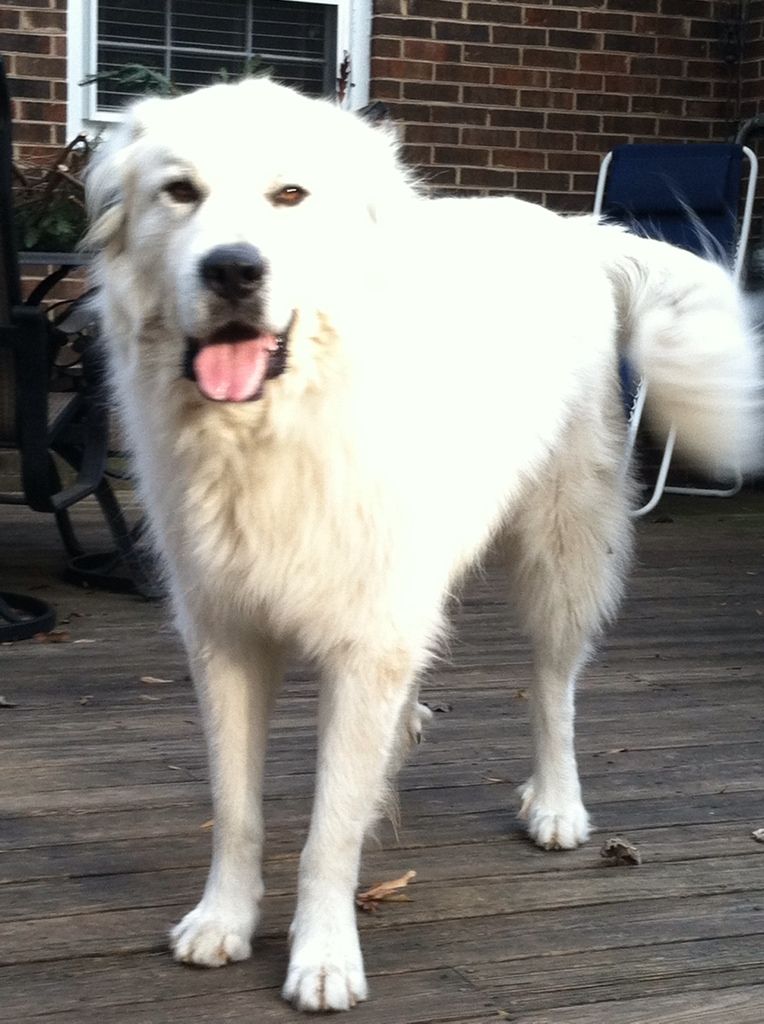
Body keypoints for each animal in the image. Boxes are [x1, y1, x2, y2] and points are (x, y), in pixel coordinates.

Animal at [85, 77, 761, 1007]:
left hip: (560, 552)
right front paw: (223, 919)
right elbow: (237, 807)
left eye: (289, 195)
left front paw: (323, 955)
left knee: (554, 688)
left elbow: (330, 829)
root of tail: (574, 232)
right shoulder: (226, 634)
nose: (232, 269)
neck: (280, 426)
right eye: (179, 192)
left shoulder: (366, 633)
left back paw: (557, 803)